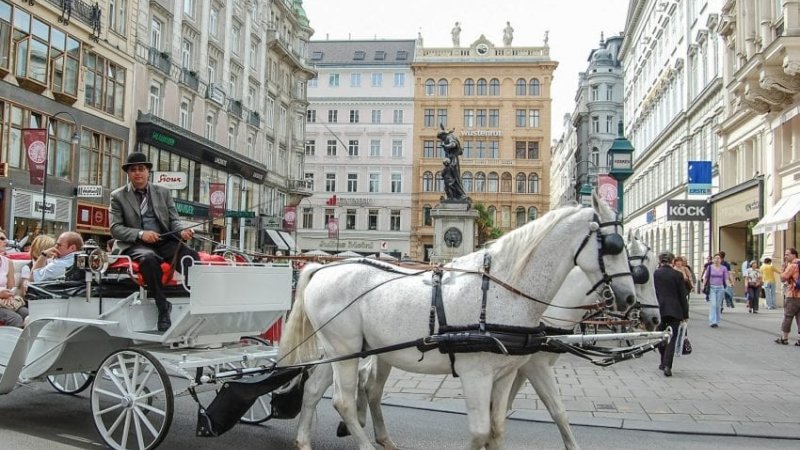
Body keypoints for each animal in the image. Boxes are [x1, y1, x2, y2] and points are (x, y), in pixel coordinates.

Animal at [282, 198, 636, 450]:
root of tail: (322, 267)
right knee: (342, 400)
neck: (501, 289)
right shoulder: (476, 374)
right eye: (614, 246)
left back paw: (303, 441)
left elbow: (497, 430)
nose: (629, 298)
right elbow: (480, 433)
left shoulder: (506, 374)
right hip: (346, 351)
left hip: (339, 351)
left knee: (314, 390)